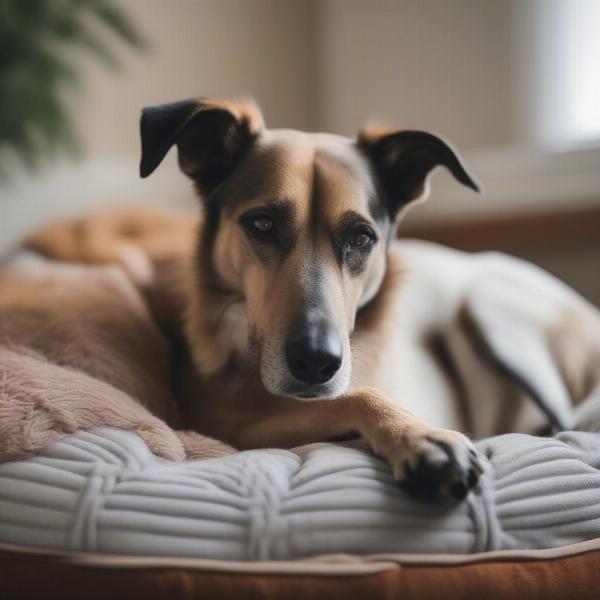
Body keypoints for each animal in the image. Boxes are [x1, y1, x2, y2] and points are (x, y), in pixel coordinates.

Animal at [8, 97, 600, 502]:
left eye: (361, 237)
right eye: (262, 224)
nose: (317, 362)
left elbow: (349, 394)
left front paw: (418, 432)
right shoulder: (232, 426)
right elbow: (351, 397)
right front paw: (421, 438)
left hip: (489, 307)